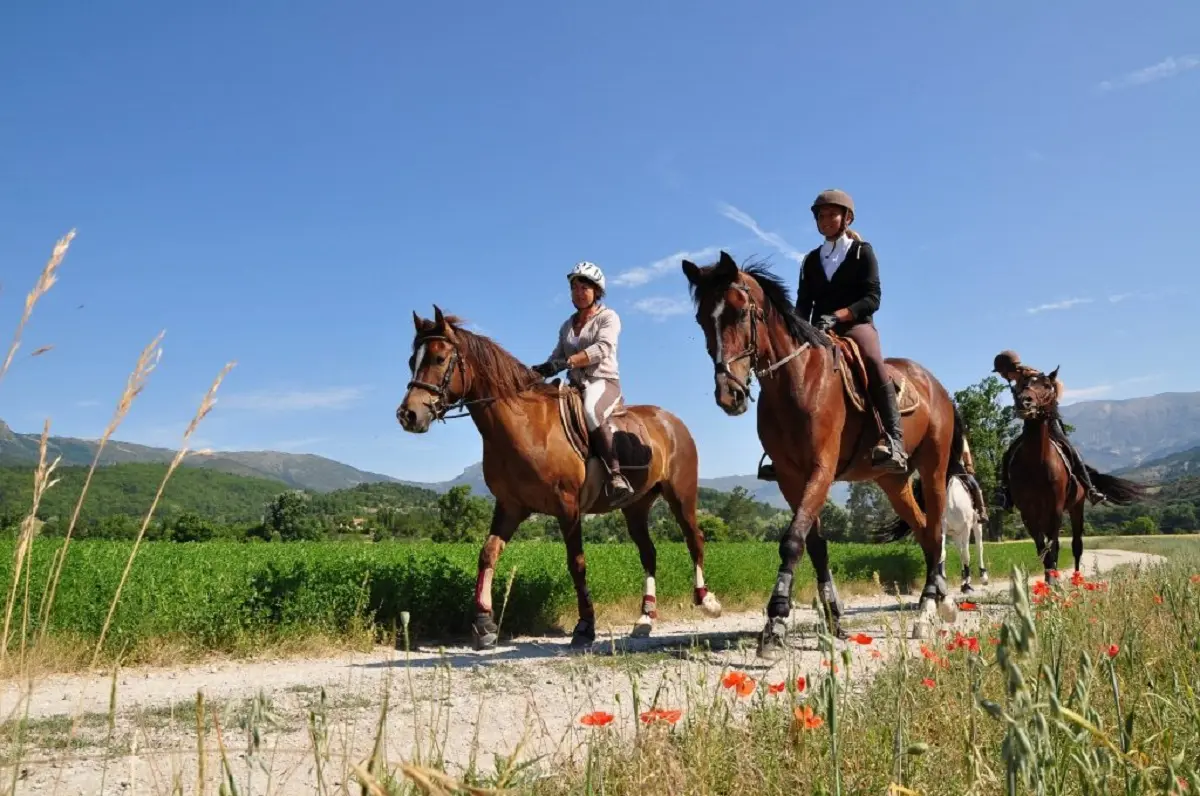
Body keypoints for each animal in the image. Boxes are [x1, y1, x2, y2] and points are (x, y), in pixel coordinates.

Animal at [396, 306, 723, 650]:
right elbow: (487, 554)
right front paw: (484, 624)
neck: (525, 426)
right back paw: (645, 618)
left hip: (681, 496)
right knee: (649, 552)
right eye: (412, 360)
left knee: (695, 539)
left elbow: (576, 564)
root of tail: (670, 420)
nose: (408, 415)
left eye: (439, 359)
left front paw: (585, 626)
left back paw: (707, 600)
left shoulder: (568, 508)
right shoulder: (511, 506)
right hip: (636, 506)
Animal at [681, 251, 965, 654]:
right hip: (892, 482)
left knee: (937, 530)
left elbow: (792, 541)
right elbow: (813, 544)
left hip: (934, 470)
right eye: (702, 319)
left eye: (739, 312)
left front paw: (775, 621)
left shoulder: (821, 468)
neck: (795, 380)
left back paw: (928, 612)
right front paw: (832, 619)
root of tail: (937, 386)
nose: (729, 394)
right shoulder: (790, 476)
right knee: (926, 532)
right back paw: (938, 602)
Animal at [1006, 365, 1146, 583]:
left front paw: (1053, 583)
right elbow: (1042, 548)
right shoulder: (1027, 513)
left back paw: (1077, 579)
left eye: (1047, 386)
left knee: (1076, 545)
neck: (1036, 464)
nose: (1024, 402)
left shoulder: (1055, 508)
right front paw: (1048, 581)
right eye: (1023, 384)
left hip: (1076, 507)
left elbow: (1054, 546)